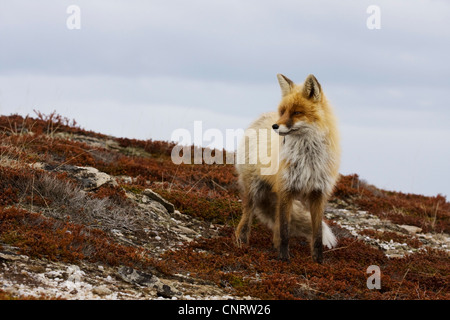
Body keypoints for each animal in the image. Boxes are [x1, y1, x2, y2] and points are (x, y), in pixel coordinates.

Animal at [234, 74, 340, 262]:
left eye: (297, 112)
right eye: (282, 111)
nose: (275, 126)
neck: (307, 156)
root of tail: (260, 117)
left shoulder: (318, 193)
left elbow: (317, 234)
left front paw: (318, 261)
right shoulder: (286, 188)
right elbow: (285, 231)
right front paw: (284, 259)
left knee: (276, 224)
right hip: (254, 190)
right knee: (247, 216)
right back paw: (242, 242)